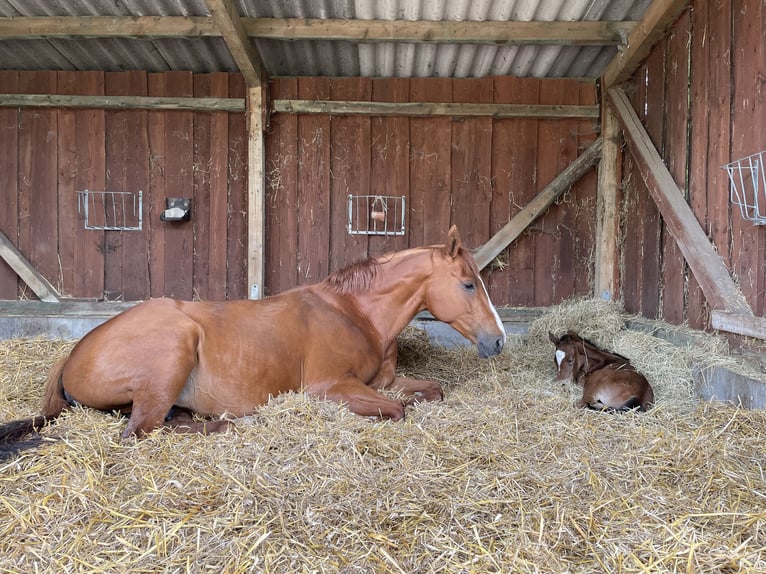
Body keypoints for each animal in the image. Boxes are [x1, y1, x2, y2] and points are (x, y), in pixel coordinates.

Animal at [0, 225, 504, 454]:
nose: (498, 341)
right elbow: (397, 410)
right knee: (141, 432)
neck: (354, 313)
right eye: (468, 284)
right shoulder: (330, 387)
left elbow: (430, 392)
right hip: (171, 355)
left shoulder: (380, 383)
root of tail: (74, 353)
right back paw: (233, 423)